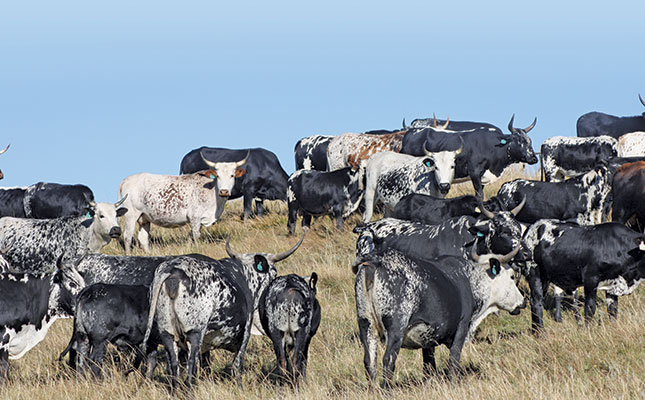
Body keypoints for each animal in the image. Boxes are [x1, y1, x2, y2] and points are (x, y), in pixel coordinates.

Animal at [142, 235, 304, 387]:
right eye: (274, 273)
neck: (244, 275)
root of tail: (173, 270)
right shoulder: (245, 334)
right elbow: (237, 366)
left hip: (168, 334)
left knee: (174, 368)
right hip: (195, 334)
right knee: (191, 367)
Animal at [354, 246, 524, 387]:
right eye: (512, 276)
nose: (522, 302)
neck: (469, 279)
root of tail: (375, 261)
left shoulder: (427, 338)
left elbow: (429, 365)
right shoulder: (462, 327)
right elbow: (454, 360)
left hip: (366, 324)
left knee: (369, 361)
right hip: (396, 329)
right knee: (388, 360)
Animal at [402, 115, 538, 199]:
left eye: (530, 141)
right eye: (519, 141)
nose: (534, 158)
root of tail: (412, 131)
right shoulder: (474, 173)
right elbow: (479, 195)